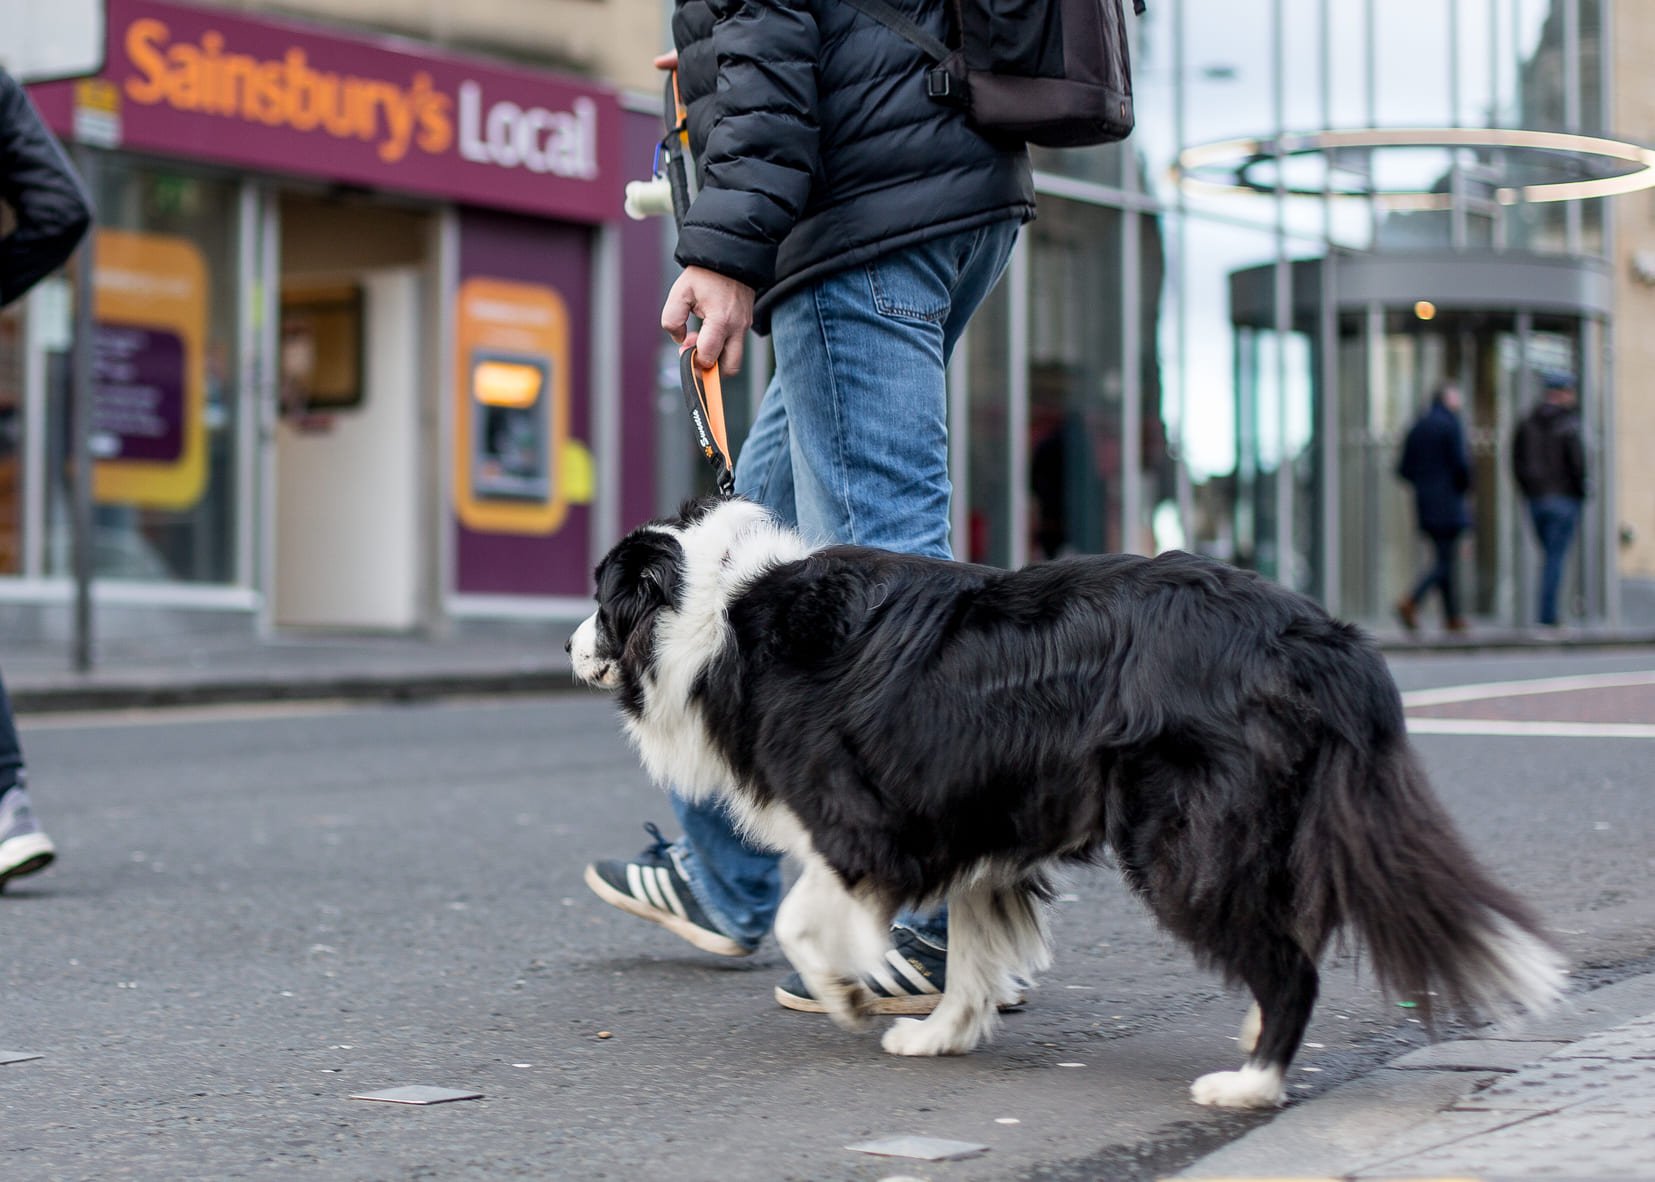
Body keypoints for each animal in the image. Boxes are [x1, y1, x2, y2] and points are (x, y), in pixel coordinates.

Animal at [569, 493, 1562, 1105]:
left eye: (598, 594)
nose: (573, 645)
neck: (715, 608)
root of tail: (1319, 634)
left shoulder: (867, 824)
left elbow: (802, 916)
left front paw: (847, 991)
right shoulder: (977, 824)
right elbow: (972, 952)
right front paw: (940, 1034)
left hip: (1178, 836)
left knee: (1289, 961)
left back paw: (1250, 1080)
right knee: (1295, 930)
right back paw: (1251, 1035)